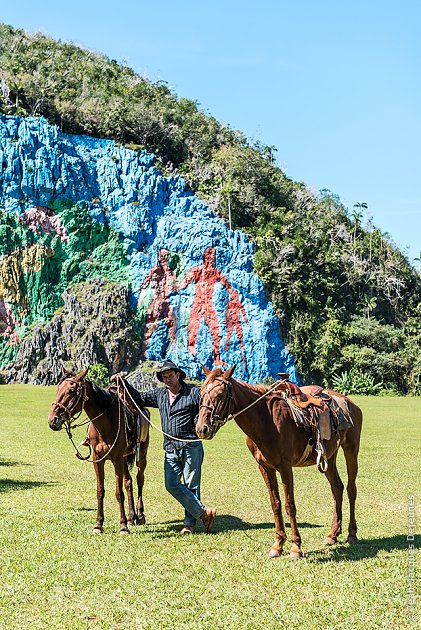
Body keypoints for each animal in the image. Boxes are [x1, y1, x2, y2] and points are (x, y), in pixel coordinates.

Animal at [48, 368, 149, 536]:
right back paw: (131, 516)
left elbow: (118, 493)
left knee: (139, 478)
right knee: (128, 482)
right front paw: (98, 525)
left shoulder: (116, 459)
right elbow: (100, 491)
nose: (52, 420)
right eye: (57, 389)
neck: (105, 424)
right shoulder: (98, 459)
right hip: (124, 457)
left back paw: (140, 515)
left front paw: (123, 527)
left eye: (71, 391)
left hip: (141, 454)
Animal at [195, 368, 362, 560]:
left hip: (351, 450)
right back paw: (333, 535)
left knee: (351, 489)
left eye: (220, 394)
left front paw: (296, 547)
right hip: (329, 456)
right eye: (201, 394)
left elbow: (290, 505)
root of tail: (351, 403)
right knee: (337, 488)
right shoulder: (265, 467)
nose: (201, 429)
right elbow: (275, 504)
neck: (266, 420)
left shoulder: (285, 467)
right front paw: (278, 544)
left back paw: (352, 534)